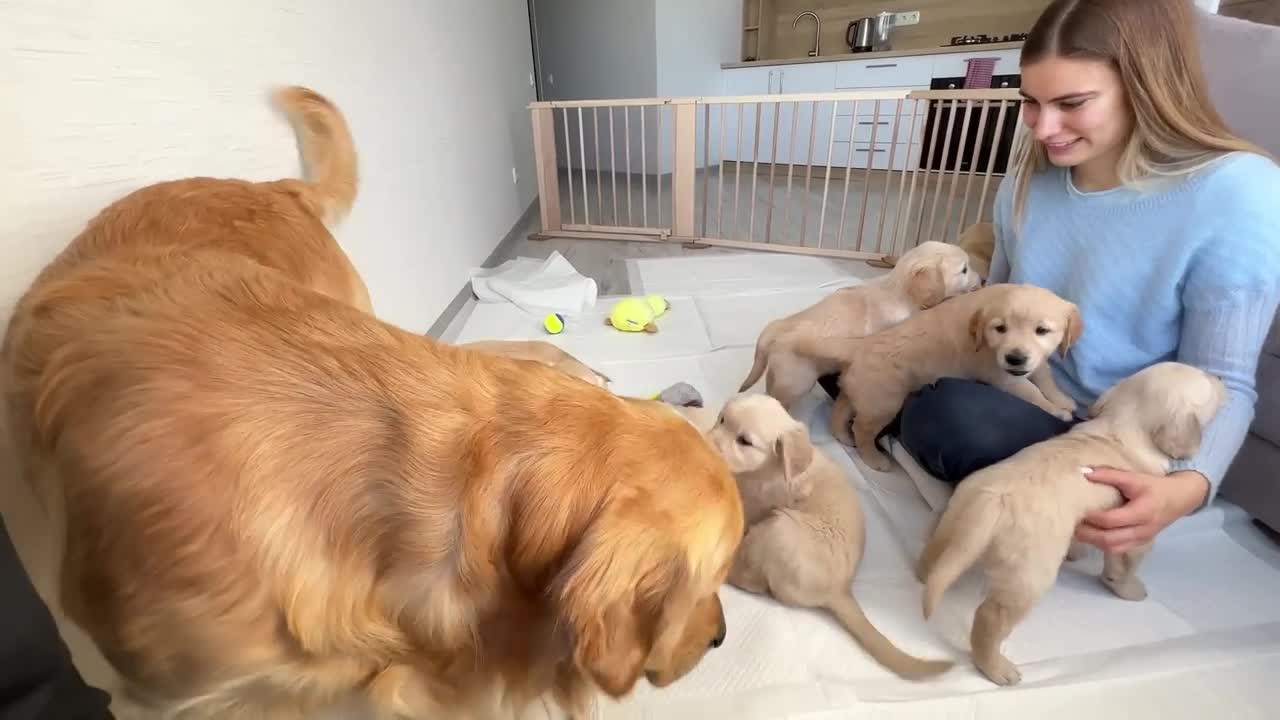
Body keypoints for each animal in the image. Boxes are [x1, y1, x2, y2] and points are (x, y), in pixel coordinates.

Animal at [691, 392, 952, 676]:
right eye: (722, 419)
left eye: (744, 441)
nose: (704, 443)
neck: (769, 469)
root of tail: (841, 590)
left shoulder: (756, 504)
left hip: (779, 529)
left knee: (757, 583)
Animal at [916, 361, 1223, 686]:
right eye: (1208, 381)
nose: (1220, 377)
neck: (1123, 425)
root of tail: (992, 501)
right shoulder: (1138, 532)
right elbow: (1123, 566)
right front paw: (1128, 589)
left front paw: (1077, 553)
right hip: (1029, 576)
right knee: (989, 618)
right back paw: (997, 668)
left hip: (953, 520)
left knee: (935, 556)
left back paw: (924, 574)